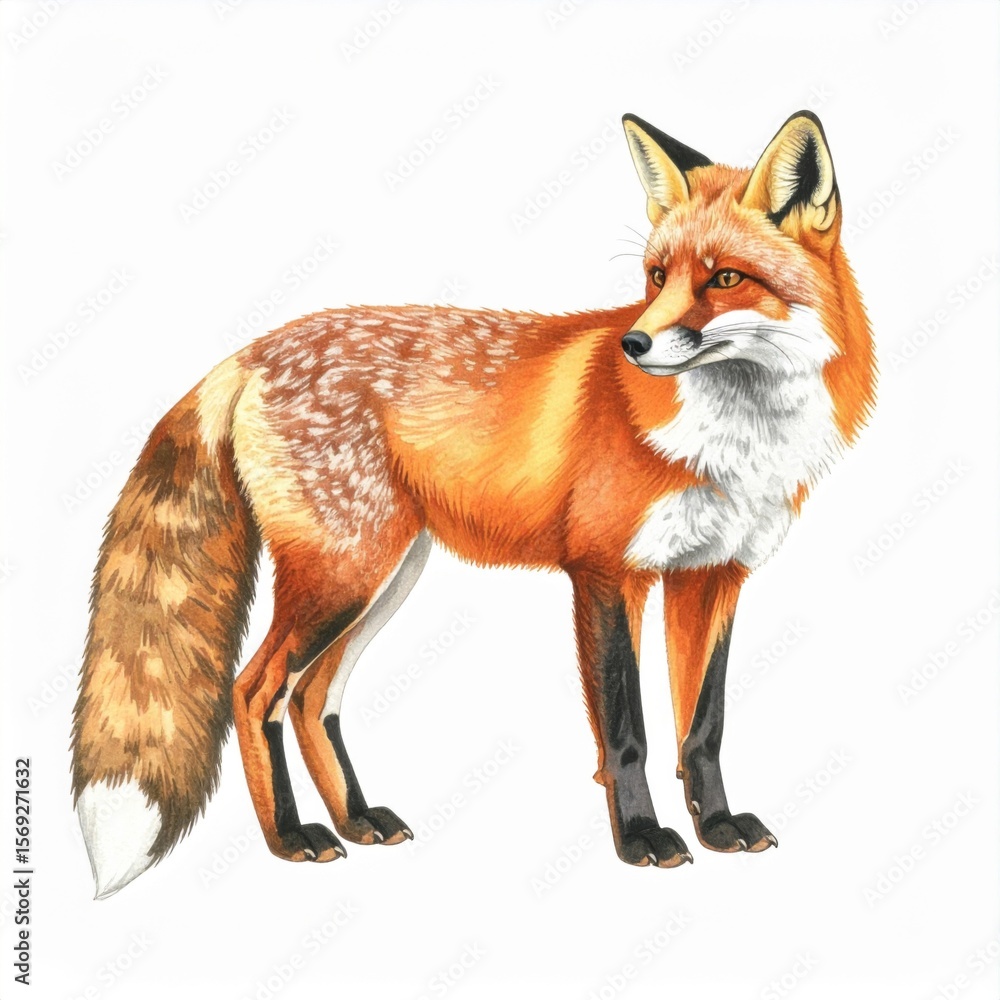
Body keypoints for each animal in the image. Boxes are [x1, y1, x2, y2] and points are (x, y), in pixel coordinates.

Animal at [71, 110, 874, 898]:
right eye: (657, 276)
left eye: (726, 279)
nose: (635, 343)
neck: (732, 438)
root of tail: (253, 350)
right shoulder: (605, 571)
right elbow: (628, 733)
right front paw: (642, 838)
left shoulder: (712, 576)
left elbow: (702, 728)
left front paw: (718, 826)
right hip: (343, 577)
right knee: (253, 690)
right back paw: (293, 837)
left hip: (383, 580)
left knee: (308, 698)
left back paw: (358, 819)